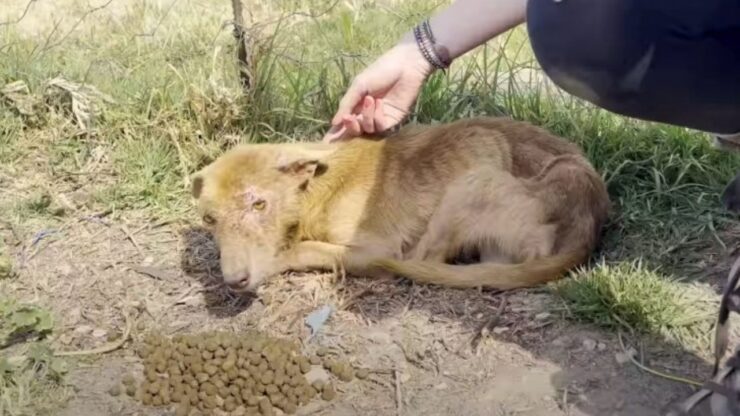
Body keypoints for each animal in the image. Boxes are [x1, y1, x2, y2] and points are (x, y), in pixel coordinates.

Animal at [191, 116, 612, 292]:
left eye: (259, 205)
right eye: (210, 219)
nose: (234, 281)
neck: (317, 188)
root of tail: (589, 216)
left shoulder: (373, 246)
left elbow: (305, 248)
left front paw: (280, 258)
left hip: (471, 182)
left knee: (423, 259)